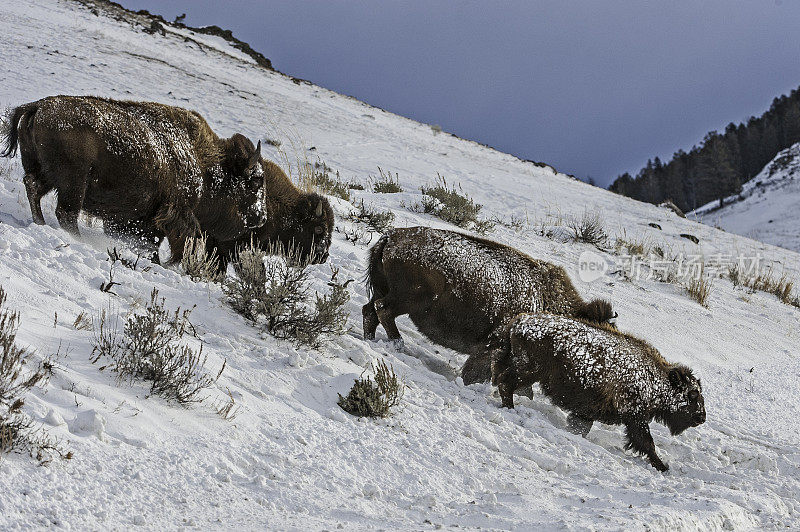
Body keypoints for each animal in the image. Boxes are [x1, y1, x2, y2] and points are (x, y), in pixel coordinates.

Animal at [0, 96, 268, 262]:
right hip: (74, 183)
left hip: (47, 175)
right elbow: (168, 240)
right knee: (66, 213)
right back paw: (78, 239)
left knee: (33, 187)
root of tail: (38, 106)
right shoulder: (173, 214)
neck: (203, 161)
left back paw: (40, 223)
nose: (261, 217)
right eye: (255, 182)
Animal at [362, 227, 620, 384]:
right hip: (407, 299)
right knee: (383, 310)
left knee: (370, 310)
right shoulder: (492, 344)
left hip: (387, 291)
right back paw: (398, 344)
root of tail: (391, 236)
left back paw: (371, 339)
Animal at [494, 314, 708, 472]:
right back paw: (509, 407)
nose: (701, 417)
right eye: (692, 394)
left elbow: (581, 426)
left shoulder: (588, 412)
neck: (656, 377)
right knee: (505, 382)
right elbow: (647, 442)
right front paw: (662, 466)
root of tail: (519, 322)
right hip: (530, 370)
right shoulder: (635, 416)